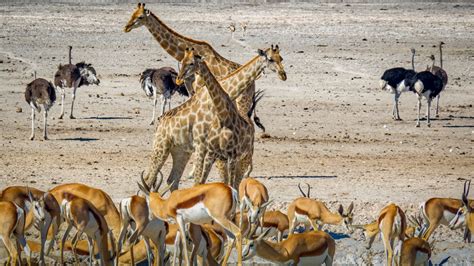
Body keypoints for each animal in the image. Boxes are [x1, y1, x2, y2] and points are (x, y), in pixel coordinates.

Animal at [143, 46, 286, 190]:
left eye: (281, 58)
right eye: (270, 59)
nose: (283, 74)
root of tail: (160, 123)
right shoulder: (203, 144)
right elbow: (201, 180)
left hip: (180, 151)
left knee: (170, 180)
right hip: (161, 147)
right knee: (149, 178)